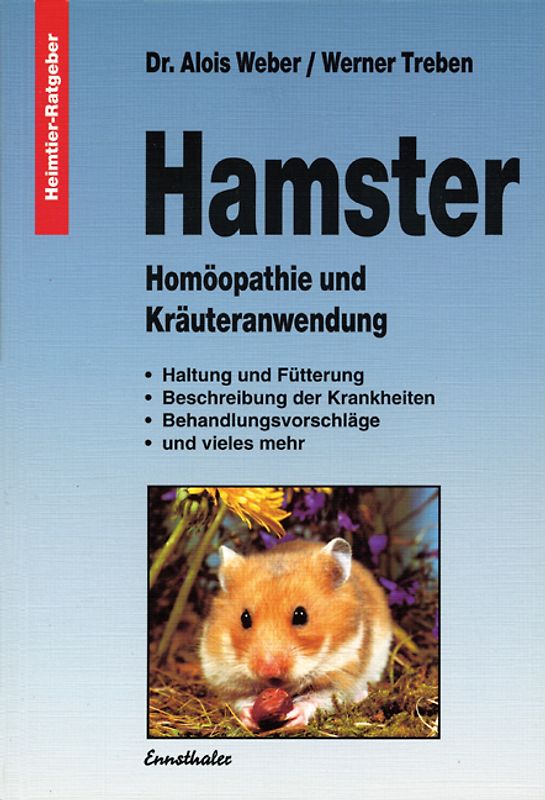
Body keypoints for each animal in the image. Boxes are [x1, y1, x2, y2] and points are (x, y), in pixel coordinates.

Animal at [199, 537, 392, 730]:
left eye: (301, 615)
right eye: (244, 618)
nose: (268, 670)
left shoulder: (342, 673)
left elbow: (317, 699)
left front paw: (294, 715)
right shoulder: (224, 678)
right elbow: (242, 700)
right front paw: (250, 716)